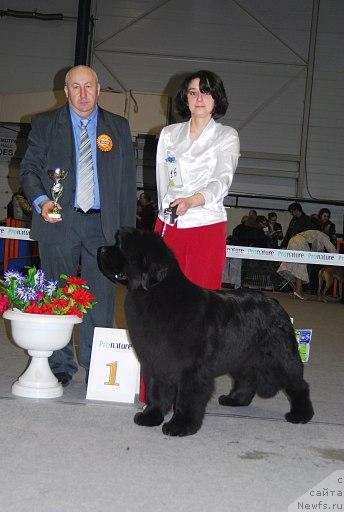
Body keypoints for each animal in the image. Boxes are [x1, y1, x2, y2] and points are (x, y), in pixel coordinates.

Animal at [97, 228, 314, 436]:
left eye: (122, 246)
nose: (101, 250)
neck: (155, 294)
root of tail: (276, 304)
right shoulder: (158, 360)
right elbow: (156, 391)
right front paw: (151, 416)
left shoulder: (191, 369)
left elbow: (186, 398)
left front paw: (180, 426)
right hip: (241, 356)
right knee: (247, 378)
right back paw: (235, 400)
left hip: (279, 358)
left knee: (298, 384)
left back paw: (301, 415)